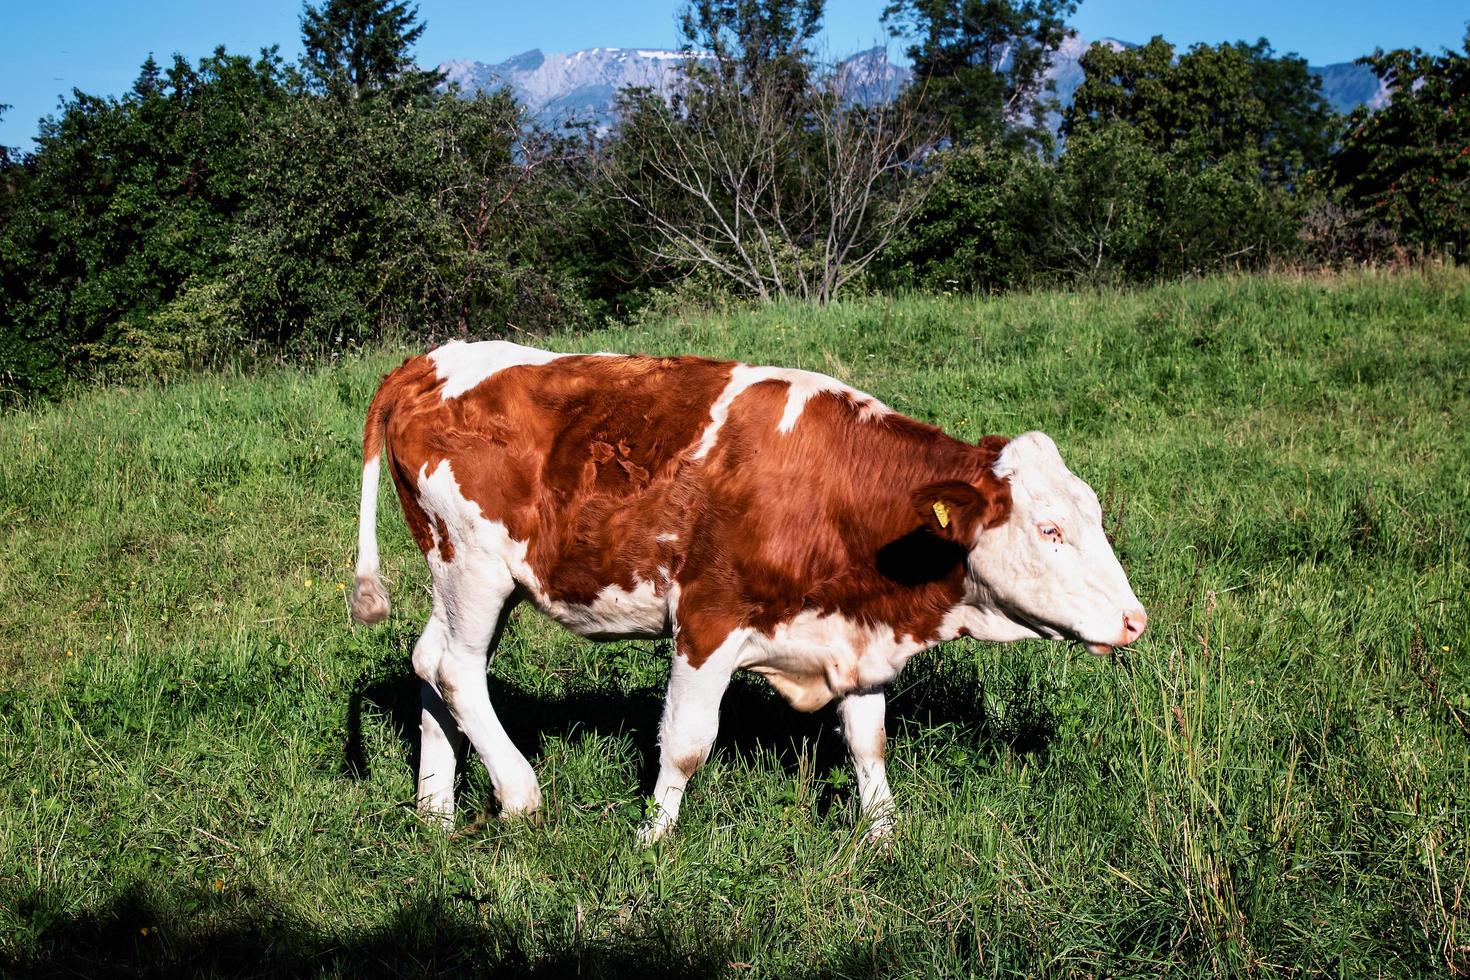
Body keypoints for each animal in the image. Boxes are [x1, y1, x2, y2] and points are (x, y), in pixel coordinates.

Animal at [346, 340, 1146, 840]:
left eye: (1094, 513)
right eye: (1049, 530)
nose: (1135, 620)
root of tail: (429, 359)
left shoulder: (853, 633)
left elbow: (869, 741)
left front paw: (883, 838)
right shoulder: (708, 618)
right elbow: (686, 746)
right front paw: (652, 840)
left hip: (472, 578)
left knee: (429, 662)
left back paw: (435, 810)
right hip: (472, 564)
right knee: (457, 669)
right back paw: (518, 795)